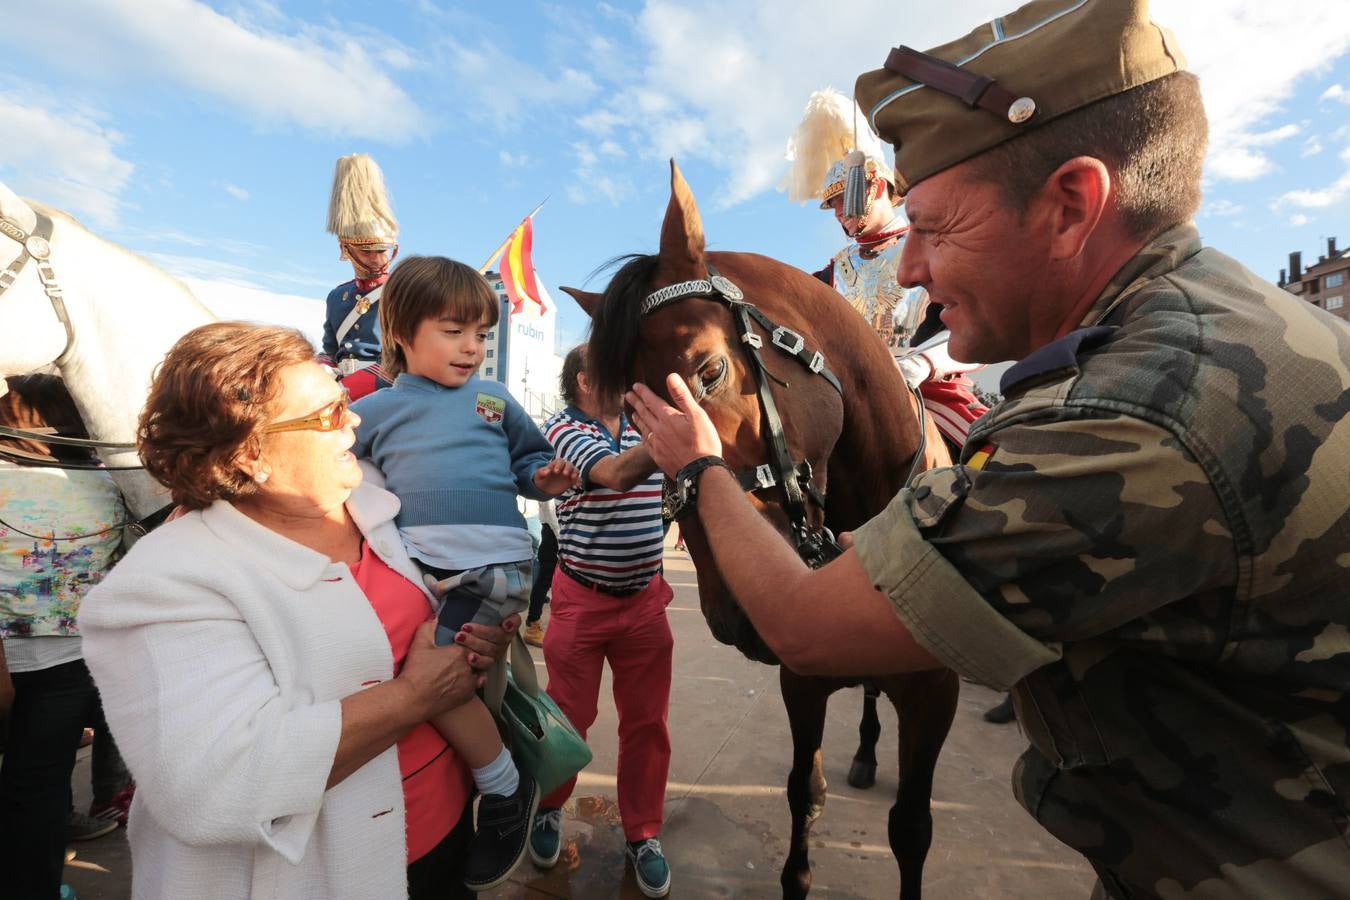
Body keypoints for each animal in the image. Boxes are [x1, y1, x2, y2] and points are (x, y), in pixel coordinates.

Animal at [564, 163, 966, 900]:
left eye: (710, 371)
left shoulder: (936, 695)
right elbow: (803, 794)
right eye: (628, 412)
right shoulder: (800, 678)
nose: (738, 616)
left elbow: (911, 827)